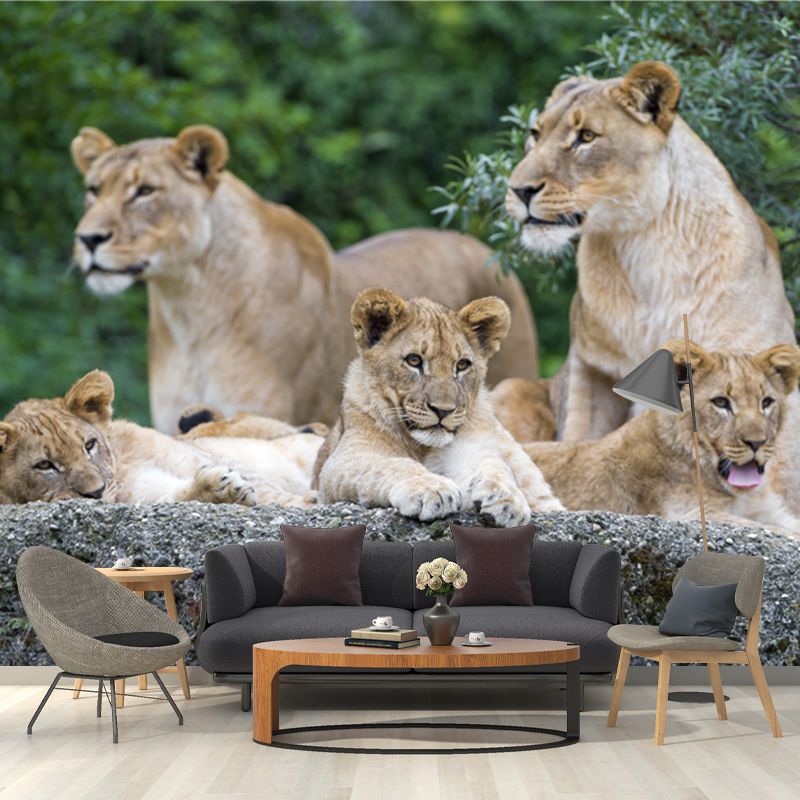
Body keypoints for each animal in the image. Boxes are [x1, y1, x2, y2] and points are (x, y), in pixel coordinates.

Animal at [0, 371, 323, 507]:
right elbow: (176, 495)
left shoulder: (197, 456)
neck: (125, 468)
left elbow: (272, 492)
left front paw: (308, 502)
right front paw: (221, 489)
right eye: (45, 465)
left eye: (89, 445)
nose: (96, 492)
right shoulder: (145, 495)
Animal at [313, 289, 563, 527]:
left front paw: (506, 498)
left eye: (462, 365)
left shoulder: (471, 452)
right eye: (414, 360)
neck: (422, 447)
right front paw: (431, 490)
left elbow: (494, 463)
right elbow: (391, 464)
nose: (443, 411)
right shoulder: (342, 462)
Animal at [504, 61, 795, 441]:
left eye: (586, 137)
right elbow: (582, 437)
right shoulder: (590, 370)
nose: (518, 190)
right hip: (512, 386)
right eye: (535, 134)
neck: (641, 247)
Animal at [522, 341, 800, 534]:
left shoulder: (770, 511)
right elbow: (782, 533)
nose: (757, 443)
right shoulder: (691, 513)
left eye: (766, 403)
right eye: (721, 402)